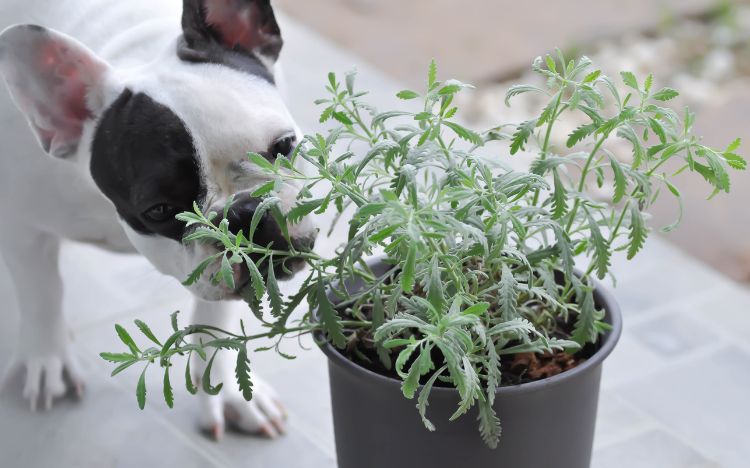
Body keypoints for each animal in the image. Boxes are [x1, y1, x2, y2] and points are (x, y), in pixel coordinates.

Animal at [0, 0, 316, 439]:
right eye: (160, 211)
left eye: (285, 145)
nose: (242, 214)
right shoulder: (21, 225)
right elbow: (42, 293)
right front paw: (49, 359)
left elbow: (214, 318)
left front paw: (224, 391)